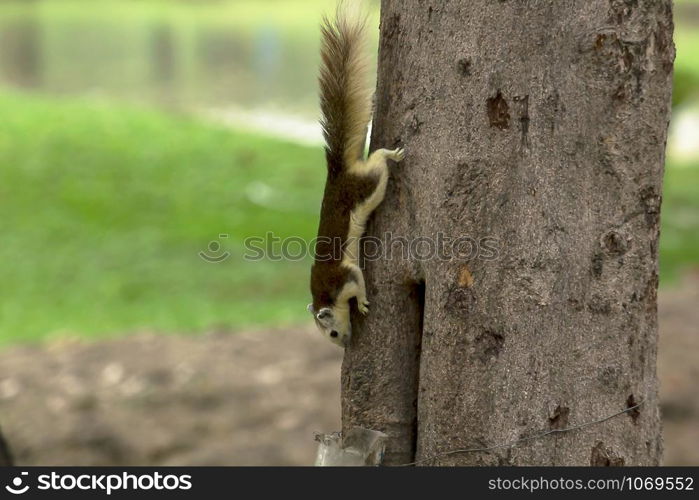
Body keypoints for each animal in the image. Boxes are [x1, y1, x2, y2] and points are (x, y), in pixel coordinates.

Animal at [306, 5, 404, 348]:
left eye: (333, 332)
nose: (345, 343)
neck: (325, 294)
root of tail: (339, 173)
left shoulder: (343, 277)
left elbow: (358, 281)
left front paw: (361, 303)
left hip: (369, 184)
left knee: (378, 163)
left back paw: (391, 154)